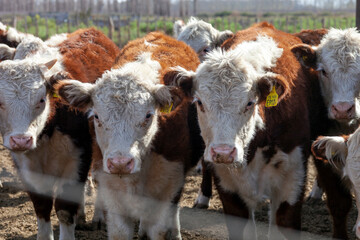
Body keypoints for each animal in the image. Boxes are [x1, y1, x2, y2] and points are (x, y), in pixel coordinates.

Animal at [0, 28, 120, 240]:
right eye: (0, 102)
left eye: (41, 99)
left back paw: (98, 217)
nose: (21, 140)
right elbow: (41, 206)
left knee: (98, 178)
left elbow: (64, 208)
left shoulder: (78, 159)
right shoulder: (26, 167)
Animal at [55, 32, 204, 240]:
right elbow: (119, 231)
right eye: (96, 116)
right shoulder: (112, 186)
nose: (120, 163)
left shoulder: (168, 181)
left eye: (148, 115)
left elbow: (158, 228)